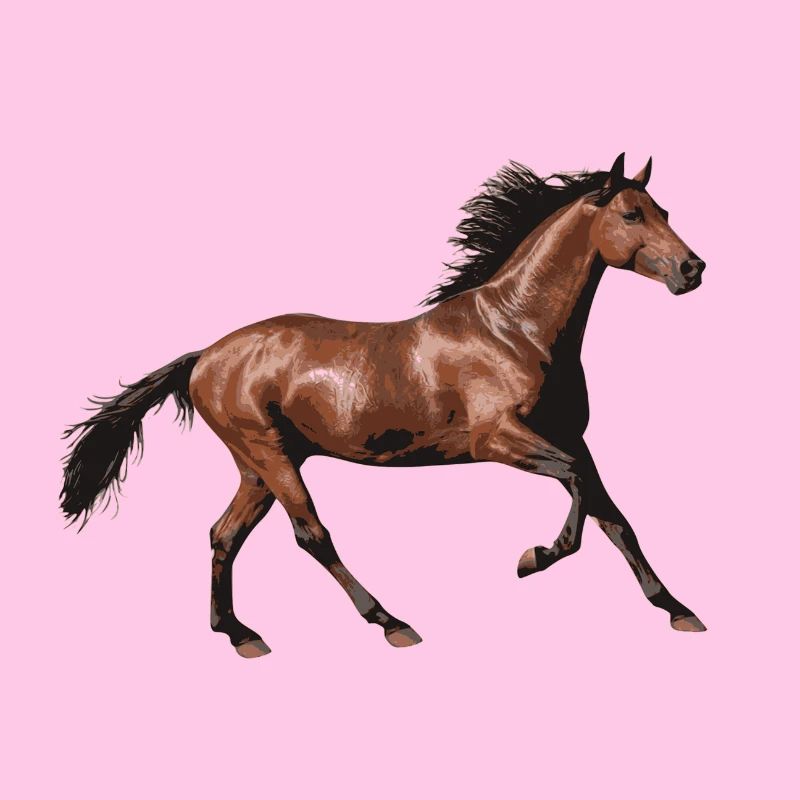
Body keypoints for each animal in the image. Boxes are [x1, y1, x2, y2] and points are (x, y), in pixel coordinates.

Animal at [61, 152, 708, 658]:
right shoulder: (499, 439)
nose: (693, 268)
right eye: (631, 214)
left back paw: (240, 634)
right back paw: (392, 622)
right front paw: (532, 557)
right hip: (269, 454)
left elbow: (613, 515)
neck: (514, 330)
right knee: (310, 533)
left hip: (258, 465)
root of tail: (203, 357)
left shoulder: (572, 437)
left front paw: (678, 609)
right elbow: (576, 494)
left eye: (665, 212)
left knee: (224, 534)